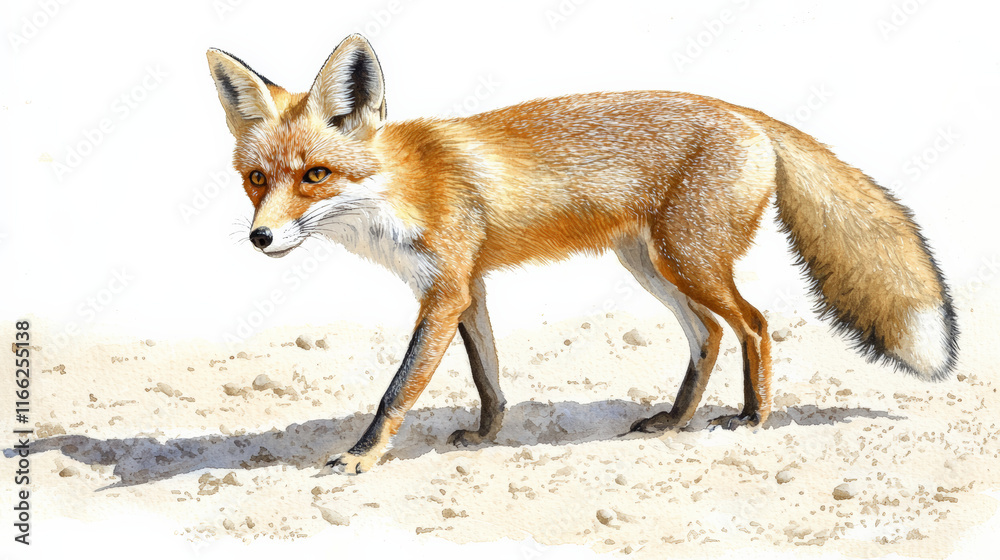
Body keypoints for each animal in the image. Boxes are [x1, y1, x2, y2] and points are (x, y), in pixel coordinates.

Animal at [206, 34, 958, 475]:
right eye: (256, 179)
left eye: (315, 175)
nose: (260, 238)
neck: (404, 187)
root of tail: (747, 114)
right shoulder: (467, 288)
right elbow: (488, 377)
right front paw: (487, 437)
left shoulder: (444, 291)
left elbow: (399, 387)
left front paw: (363, 457)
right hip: (650, 265)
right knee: (710, 335)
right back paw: (673, 421)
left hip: (687, 260)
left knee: (755, 325)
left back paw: (753, 419)